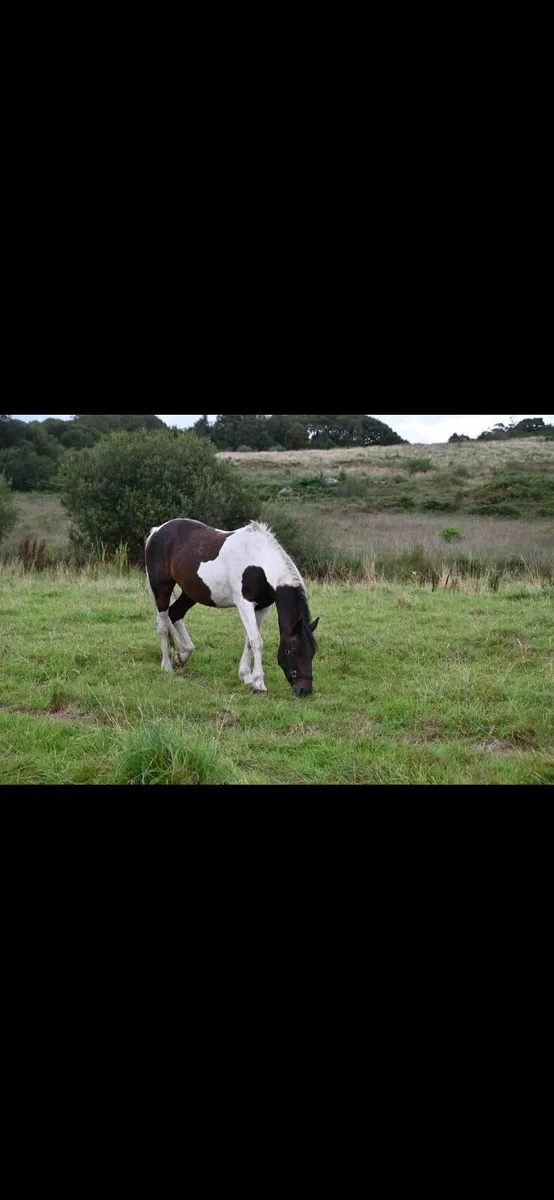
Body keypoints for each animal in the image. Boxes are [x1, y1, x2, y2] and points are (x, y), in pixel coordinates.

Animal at [145, 518, 319, 696]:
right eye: (293, 651)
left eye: (313, 652)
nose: (304, 690)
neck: (259, 560)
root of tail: (156, 531)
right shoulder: (244, 604)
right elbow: (256, 641)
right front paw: (259, 683)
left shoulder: (262, 607)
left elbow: (249, 640)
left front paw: (246, 676)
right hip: (161, 589)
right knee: (163, 626)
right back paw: (167, 666)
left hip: (190, 592)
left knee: (175, 614)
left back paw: (183, 656)